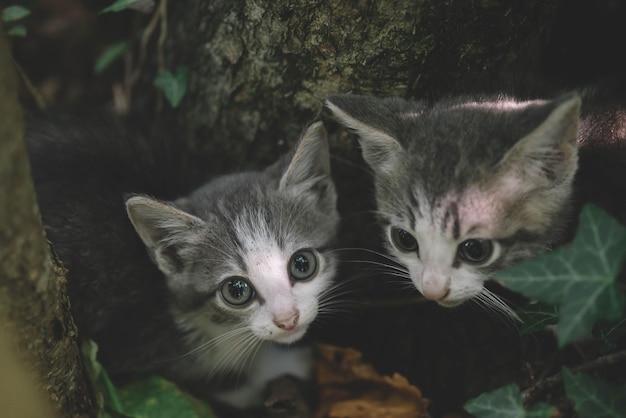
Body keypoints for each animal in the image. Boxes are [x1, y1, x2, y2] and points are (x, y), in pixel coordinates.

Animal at [25, 114, 336, 408]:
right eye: (236, 291)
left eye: (302, 264)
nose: (288, 319)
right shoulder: (135, 344)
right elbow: (221, 383)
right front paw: (279, 366)